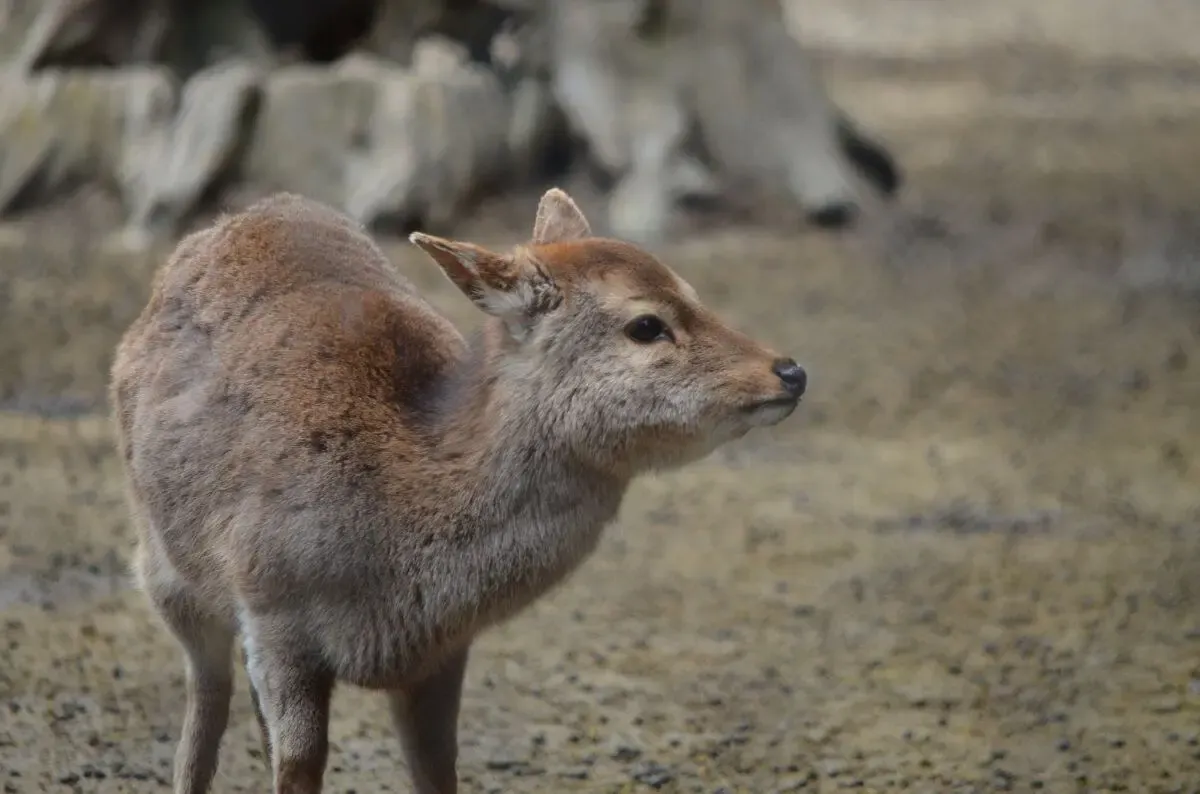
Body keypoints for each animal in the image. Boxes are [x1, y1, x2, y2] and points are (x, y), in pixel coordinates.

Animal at [109, 187, 807, 794]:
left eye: (694, 292)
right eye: (646, 324)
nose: (791, 370)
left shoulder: (443, 651)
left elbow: (438, 767)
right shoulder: (273, 613)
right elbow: (298, 767)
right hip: (165, 572)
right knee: (205, 701)